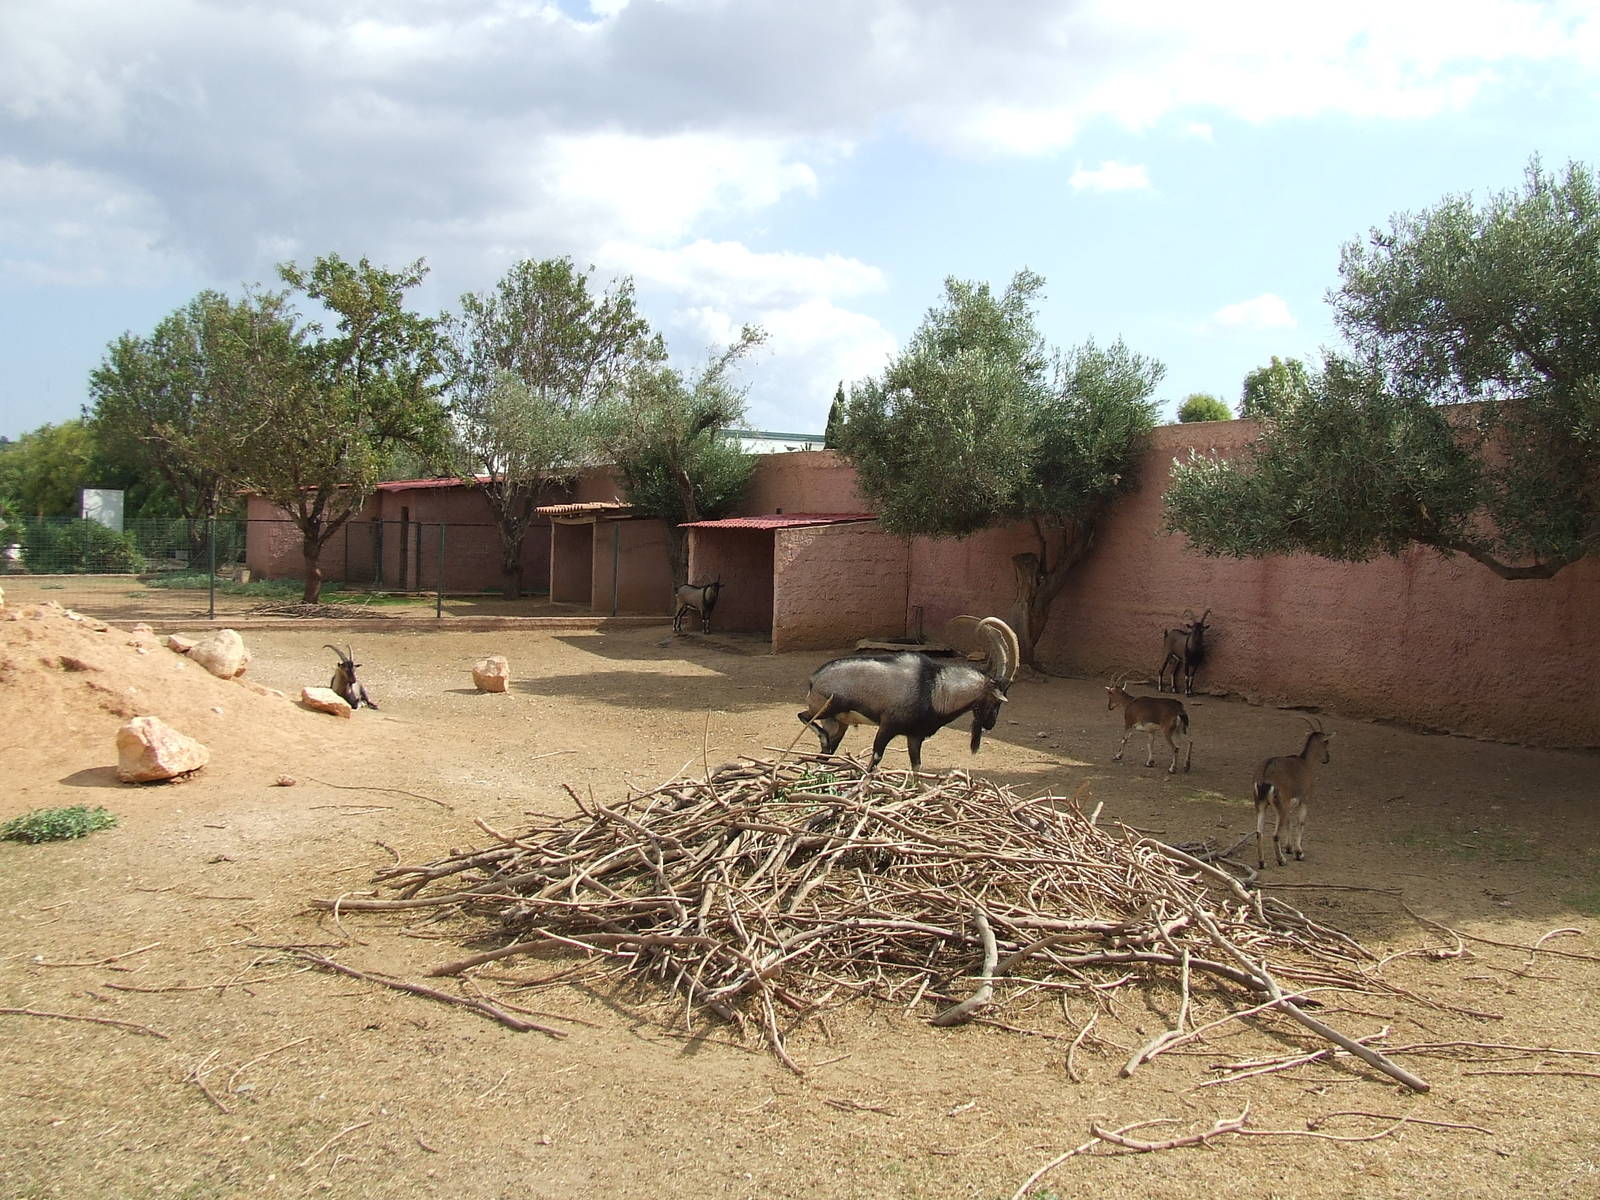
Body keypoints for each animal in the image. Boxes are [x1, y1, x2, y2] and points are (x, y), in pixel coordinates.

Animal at [798, 616, 1020, 771]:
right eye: (996, 701)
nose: (990, 724)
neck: (934, 689)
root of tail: (814, 679)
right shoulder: (887, 727)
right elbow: (875, 760)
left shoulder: (915, 737)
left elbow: (916, 768)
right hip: (827, 707)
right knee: (804, 717)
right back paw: (823, 739)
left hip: (838, 724)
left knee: (825, 754)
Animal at [1252, 717, 1334, 869]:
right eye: (1326, 741)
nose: (1327, 759)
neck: (1305, 763)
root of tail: (1264, 777)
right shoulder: (1305, 799)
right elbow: (1301, 822)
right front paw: (1299, 853)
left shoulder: (1287, 803)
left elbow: (1289, 822)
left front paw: (1289, 848)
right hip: (1280, 803)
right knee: (1275, 834)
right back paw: (1281, 860)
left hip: (1261, 803)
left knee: (1259, 832)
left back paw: (1262, 862)